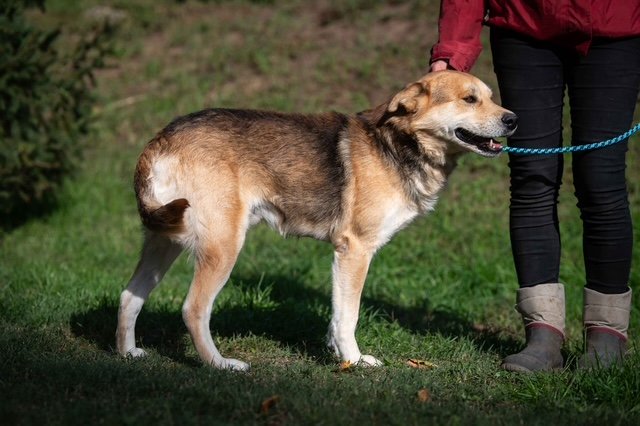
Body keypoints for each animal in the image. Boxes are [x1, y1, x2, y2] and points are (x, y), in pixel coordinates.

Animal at [116, 70, 517, 370]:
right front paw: (354, 360)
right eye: (469, 99)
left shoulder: (342, 258)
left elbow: (338, 315)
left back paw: (127, 352)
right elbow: (349, 316)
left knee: (129, 296)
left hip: (164, 241)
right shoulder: (356, 251)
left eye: (490, 96)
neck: (398, 143)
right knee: (194, 309)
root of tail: (162, 140)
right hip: (223, 246)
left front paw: (339, 355)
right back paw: (221, 364)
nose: (513, 119)